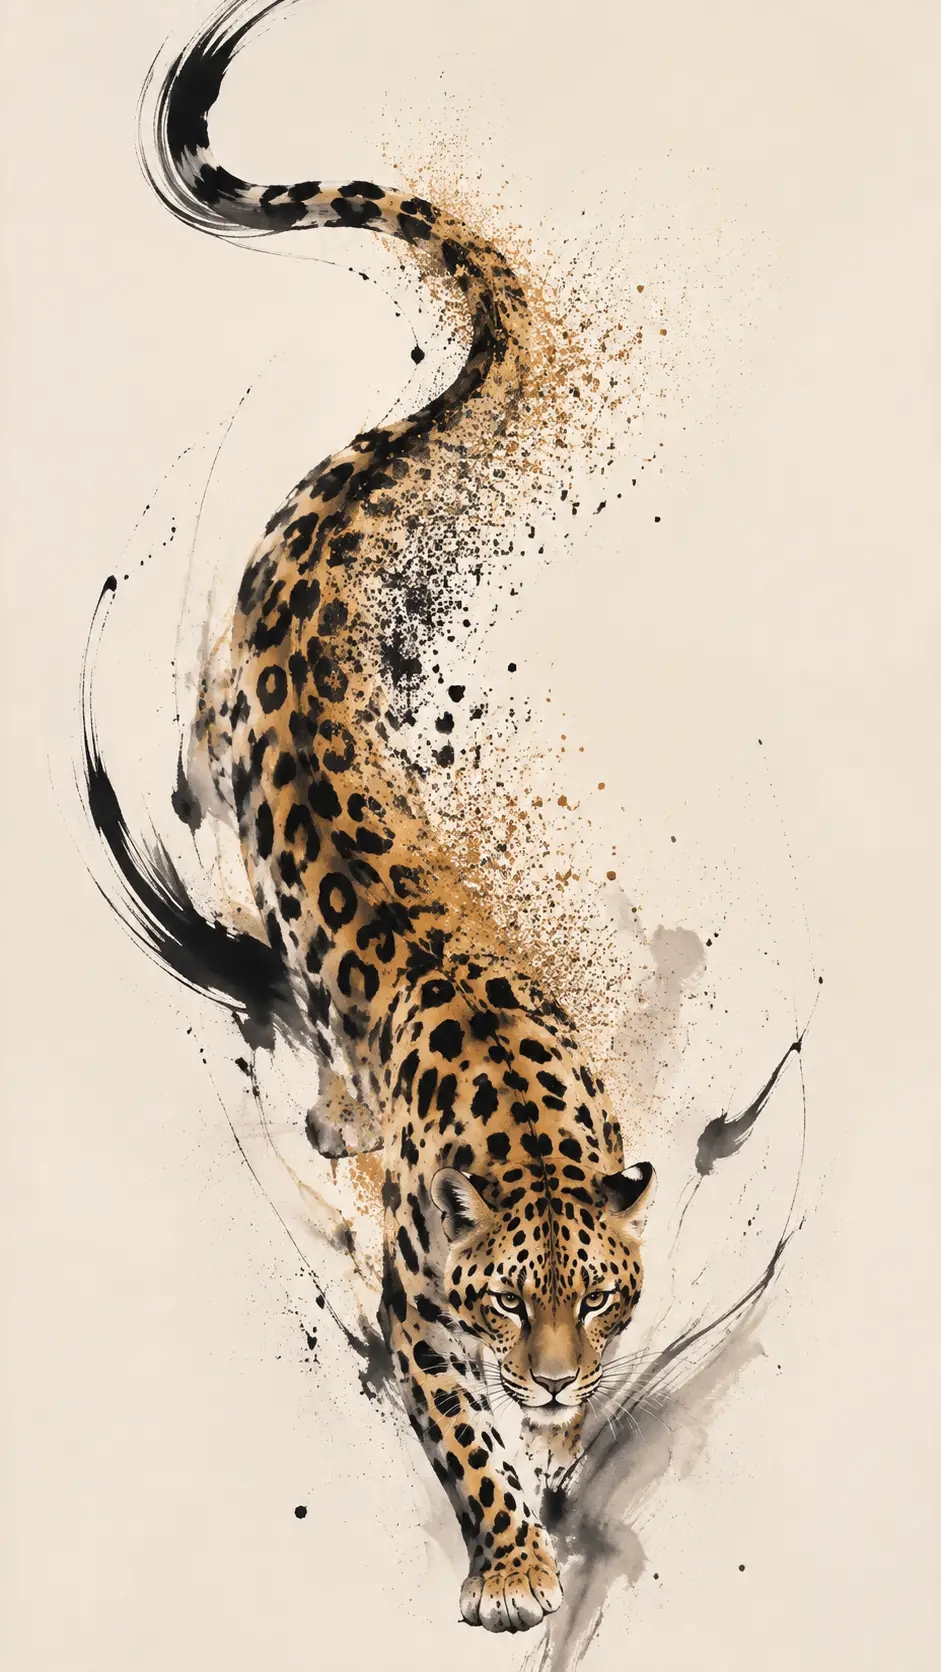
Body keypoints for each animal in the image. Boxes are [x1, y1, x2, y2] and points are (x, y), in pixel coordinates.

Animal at [136, 0, 658, 1633]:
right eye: (506, 1299)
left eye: (596, 1295)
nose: (549, 1383)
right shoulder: (416, 1314)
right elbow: (457, 1438)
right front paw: (512, 1561)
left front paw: (556, 1462)